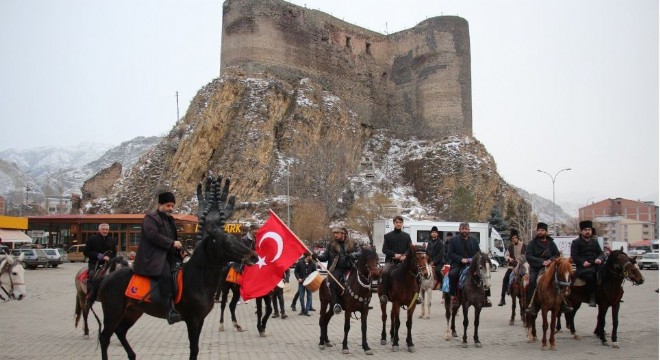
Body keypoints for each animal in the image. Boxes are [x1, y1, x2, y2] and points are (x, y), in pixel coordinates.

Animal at [96, 178, 260, 360]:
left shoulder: (200, 319)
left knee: (120, 331)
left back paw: (132, 355)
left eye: (233, 237)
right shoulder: (192, 319)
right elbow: (194, 348)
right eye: (223, 241)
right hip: (113, 312)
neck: (198, 279)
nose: (253, 256)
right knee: (105, 337)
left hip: (133, 311)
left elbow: (195, 348)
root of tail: (106, 278)